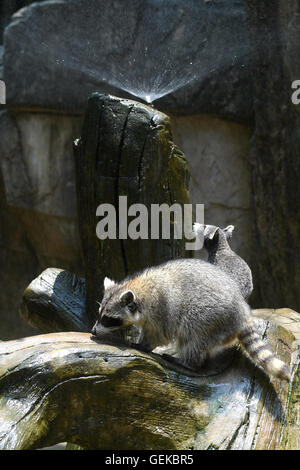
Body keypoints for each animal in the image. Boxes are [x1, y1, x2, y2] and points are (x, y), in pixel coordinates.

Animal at [92, 258, 290, 382]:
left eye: (108, 319)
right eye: (99, 314)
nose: (93, 331)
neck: (139, 287)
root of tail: (242, 310)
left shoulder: (162, 310)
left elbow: (160, 334)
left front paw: (143, 345)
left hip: (212, 318)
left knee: (193, 337)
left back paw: (188, 362)